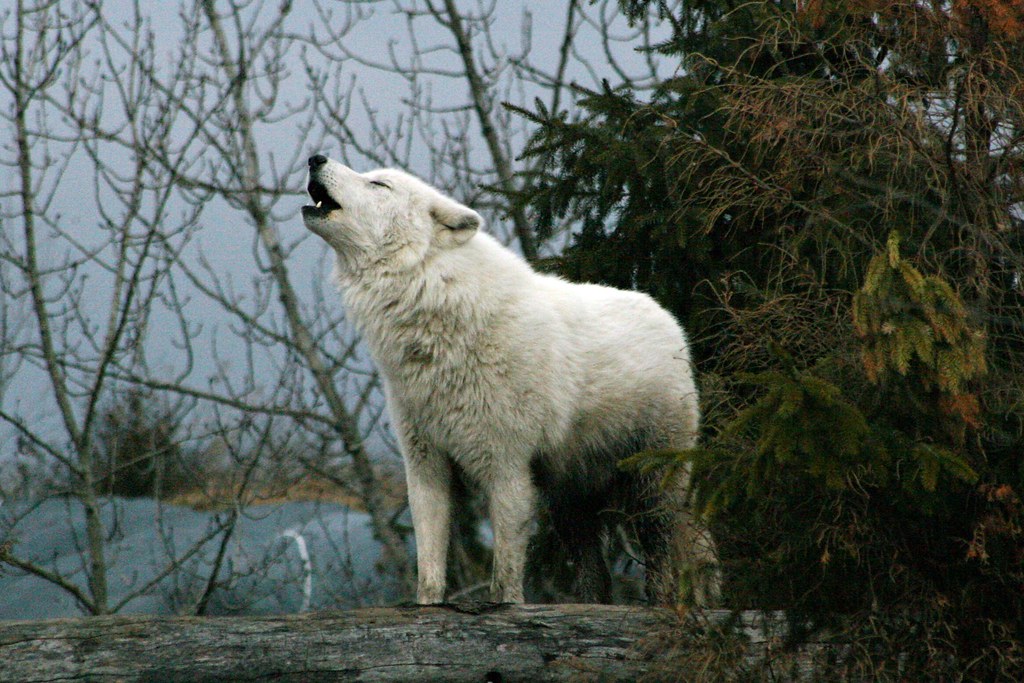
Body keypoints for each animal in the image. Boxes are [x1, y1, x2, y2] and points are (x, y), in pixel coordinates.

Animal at [301, 154, 719, 605]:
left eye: (379, 185)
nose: (316, 158)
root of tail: (667, 318)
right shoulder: (425, 465)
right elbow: (429, 565)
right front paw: (428, 607)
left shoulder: (506, 467)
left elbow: (505, 575)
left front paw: (505, 609)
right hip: (571, 503)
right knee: (597, 573)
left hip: (650, 485)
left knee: (664, 554)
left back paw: (661, 605)